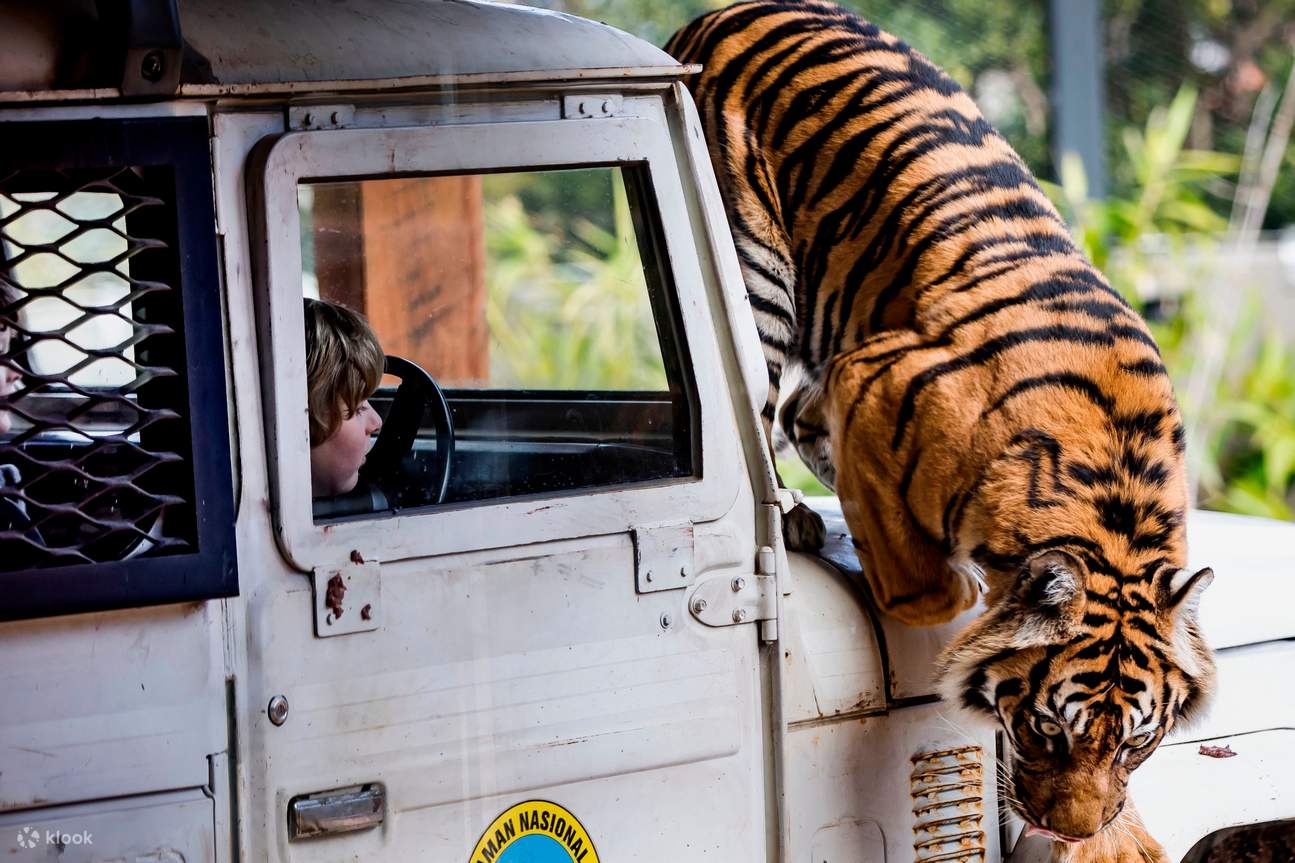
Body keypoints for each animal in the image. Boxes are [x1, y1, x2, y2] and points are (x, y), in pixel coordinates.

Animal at [666, 2, 1215, 860]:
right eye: (1047, 730)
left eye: (1133, 741)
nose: (1061, 827)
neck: (1110, 509)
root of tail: (720, 11)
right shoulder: (871, 371)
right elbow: (926, 593)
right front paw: (953, 591)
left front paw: (1115, 837)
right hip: (755, 273)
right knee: (762, 408)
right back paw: (793, 514)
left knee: (792, 414)